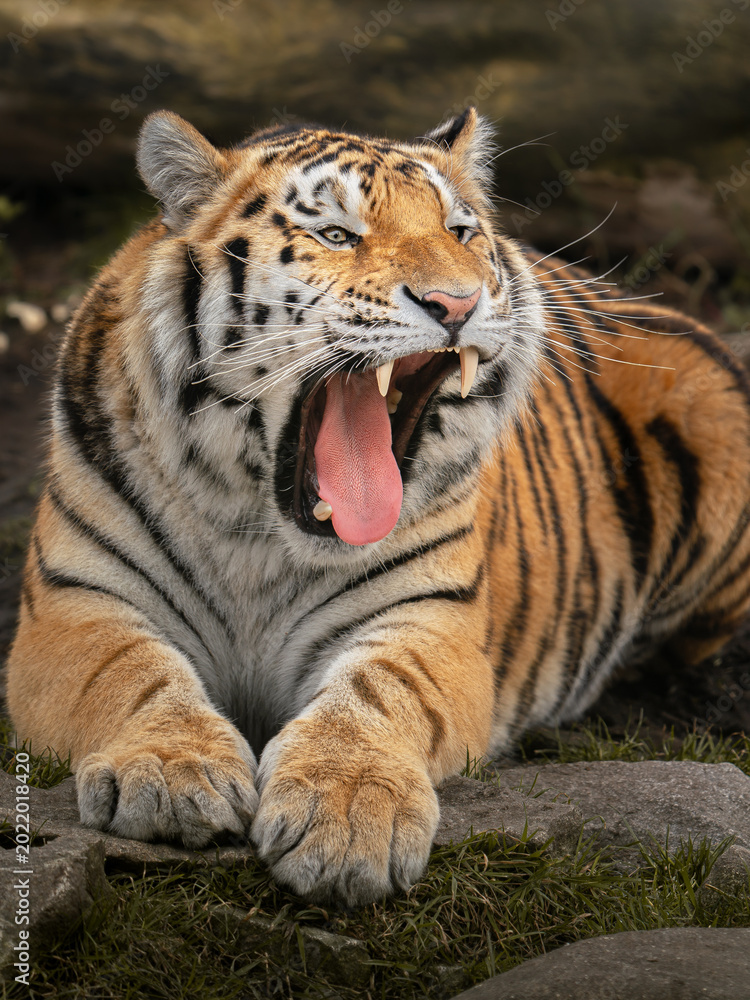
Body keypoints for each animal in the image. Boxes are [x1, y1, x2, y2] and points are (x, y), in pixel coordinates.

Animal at [7, 107, 750, 907]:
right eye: (337, 235)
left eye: (460, 232)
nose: (457, 304)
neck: (260, 538)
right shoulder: (73, 604)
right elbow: (129, 671)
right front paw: (172, 773)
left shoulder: (430, 618)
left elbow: (377, 689)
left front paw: (347, 812)